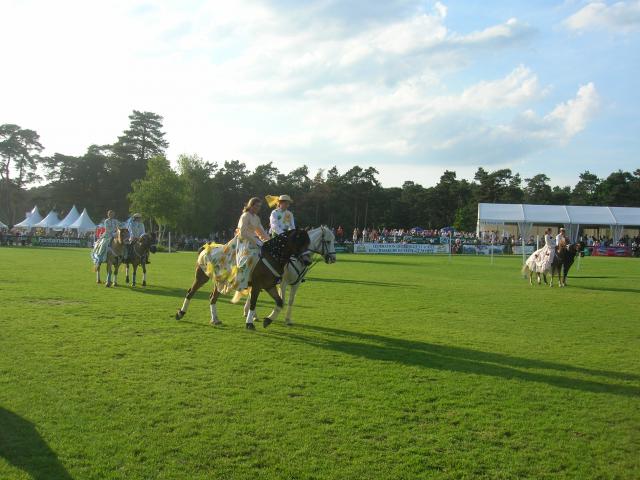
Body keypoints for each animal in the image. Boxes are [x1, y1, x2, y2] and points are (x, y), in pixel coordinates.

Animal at [175, 230, 310, 328]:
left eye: (308, 243)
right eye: (300, 242)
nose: (307, 261)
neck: (272, 256)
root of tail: (206, 248)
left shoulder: (269, 286)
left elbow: (280, 302)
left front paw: (267, 320)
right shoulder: (257, 286)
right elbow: (253, 303)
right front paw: (250, 323)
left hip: (220, 282)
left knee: (212, 298)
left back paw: (215, 319)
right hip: (201, 278)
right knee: (190, 292)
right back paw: (180, 313)